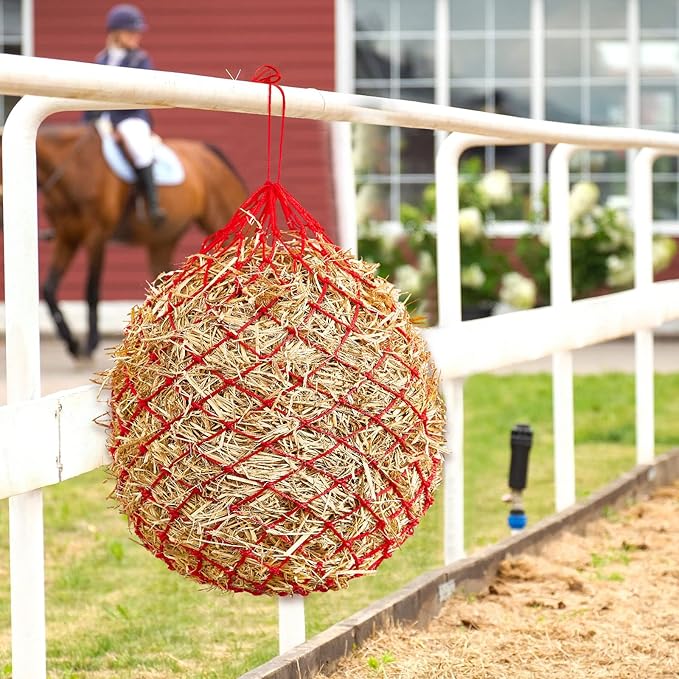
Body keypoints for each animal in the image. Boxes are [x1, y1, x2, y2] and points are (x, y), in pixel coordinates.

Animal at [5, 123, 249, 357]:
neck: (74, 169)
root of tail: (206, 151)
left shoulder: (96, 235)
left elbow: (91, 290)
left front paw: (90, 344)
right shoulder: (67, 237)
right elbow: (49, 289)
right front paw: (72, 343)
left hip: (223, 218)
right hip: (162, 240)